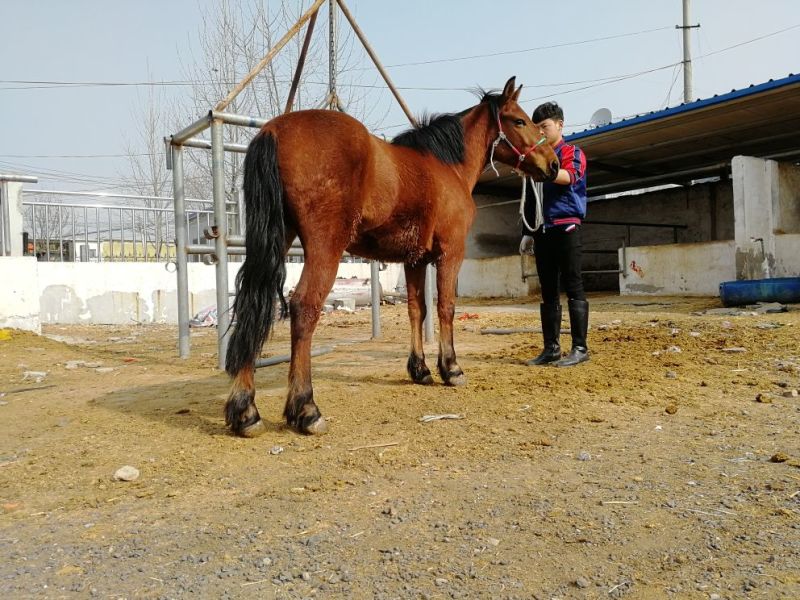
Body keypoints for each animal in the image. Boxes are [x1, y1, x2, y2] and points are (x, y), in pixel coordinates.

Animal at [224, 76, 559, 437]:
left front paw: (420, 370)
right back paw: (306, 409)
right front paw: (451, 369)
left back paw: (245, 412)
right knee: (304, 308)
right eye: (519, 121)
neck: (447, 167)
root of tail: (274, 130)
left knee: (252, 303)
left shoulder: (415, 260)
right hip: (325, 248)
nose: (554, 165)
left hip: (276, 241)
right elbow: (446, 307)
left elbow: (417, 309)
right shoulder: (450, 253)